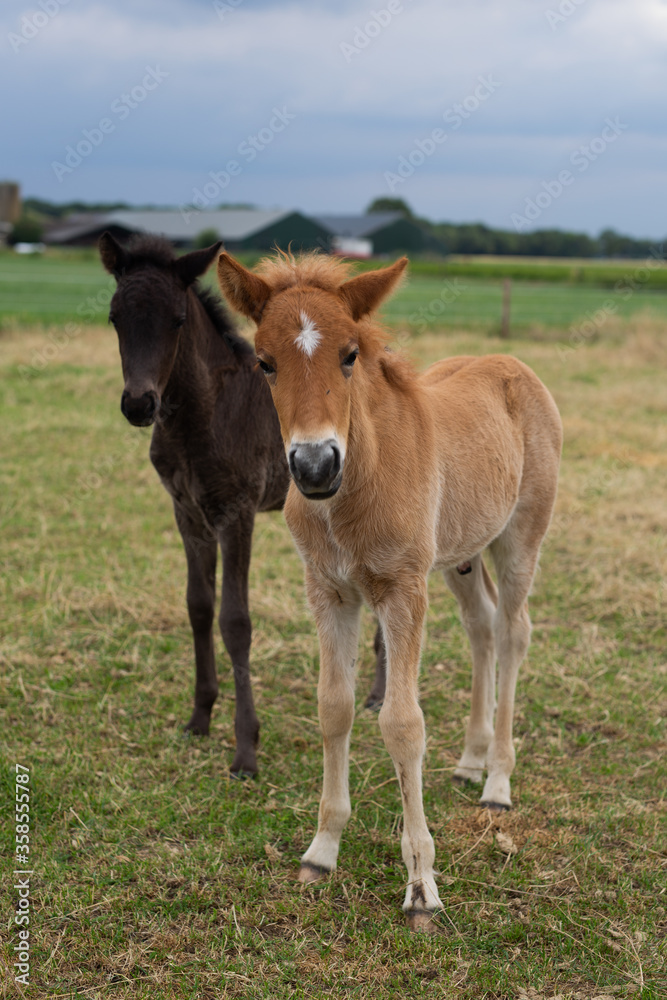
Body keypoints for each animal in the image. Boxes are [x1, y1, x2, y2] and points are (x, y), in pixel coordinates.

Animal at [217, 250, 560, 928]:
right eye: (265, 362)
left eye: (350, 354)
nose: (315, 465)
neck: (356, 484)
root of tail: (514, 365)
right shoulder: (329, 592)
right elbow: (335, 707)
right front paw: (321, 851)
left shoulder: (402, 590)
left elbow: (402, 723)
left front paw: (422, 885)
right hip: (459, 556)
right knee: (482, 625)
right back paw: (471, 760)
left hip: (519, 539)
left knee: (514, 631)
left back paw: (498, 782)